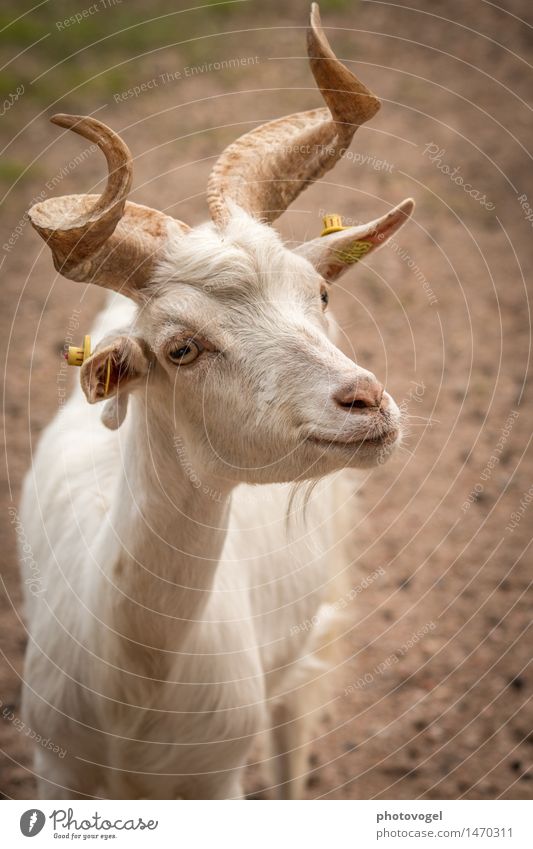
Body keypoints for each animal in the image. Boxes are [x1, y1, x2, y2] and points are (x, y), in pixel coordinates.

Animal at [19, 4, 412, 800]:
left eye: (319, 293)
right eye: (181, 349)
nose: (366, 403)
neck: (131, 693)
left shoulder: (218, 776)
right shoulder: (55, 769)